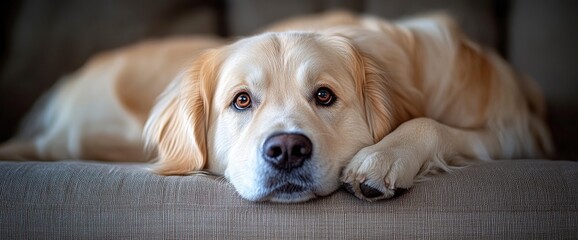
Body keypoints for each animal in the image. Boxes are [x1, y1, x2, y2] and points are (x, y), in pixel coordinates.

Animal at [0, 11, 548, 202]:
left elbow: (435, 124)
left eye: (324, 95)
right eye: (241, 100)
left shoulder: (516, 132)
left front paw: (383, 157)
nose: (286, 150)